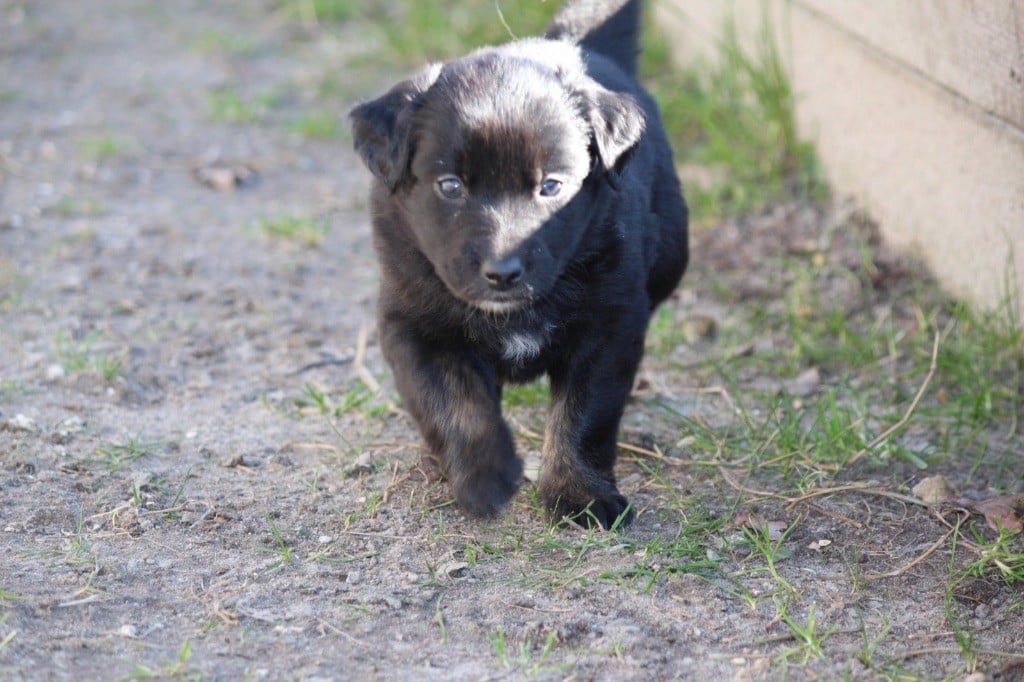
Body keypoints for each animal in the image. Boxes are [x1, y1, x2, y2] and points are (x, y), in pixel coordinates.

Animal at [350, 0, 688, 524]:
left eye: (551, 186)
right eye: (450, 186)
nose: (502, 272)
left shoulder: (609, 325)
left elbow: (584, 414)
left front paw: (579, 495)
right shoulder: (415, 326)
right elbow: (457, 407)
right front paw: (486, 478)